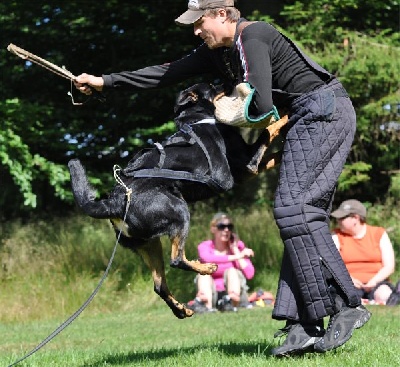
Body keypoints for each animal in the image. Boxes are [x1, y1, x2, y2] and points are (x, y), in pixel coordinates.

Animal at [69, 83, 288, 320]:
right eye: (213, 86)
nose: (227, 83)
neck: (197, 118)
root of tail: (116, 201)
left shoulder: (244, 172)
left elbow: (271, 152)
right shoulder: (245, 168)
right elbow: (268, 132)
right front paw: (285, 117)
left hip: (149, 244)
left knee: (159, 285)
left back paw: (182, 309)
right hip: (179, 211)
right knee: (176, 259)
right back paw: (206, 268)